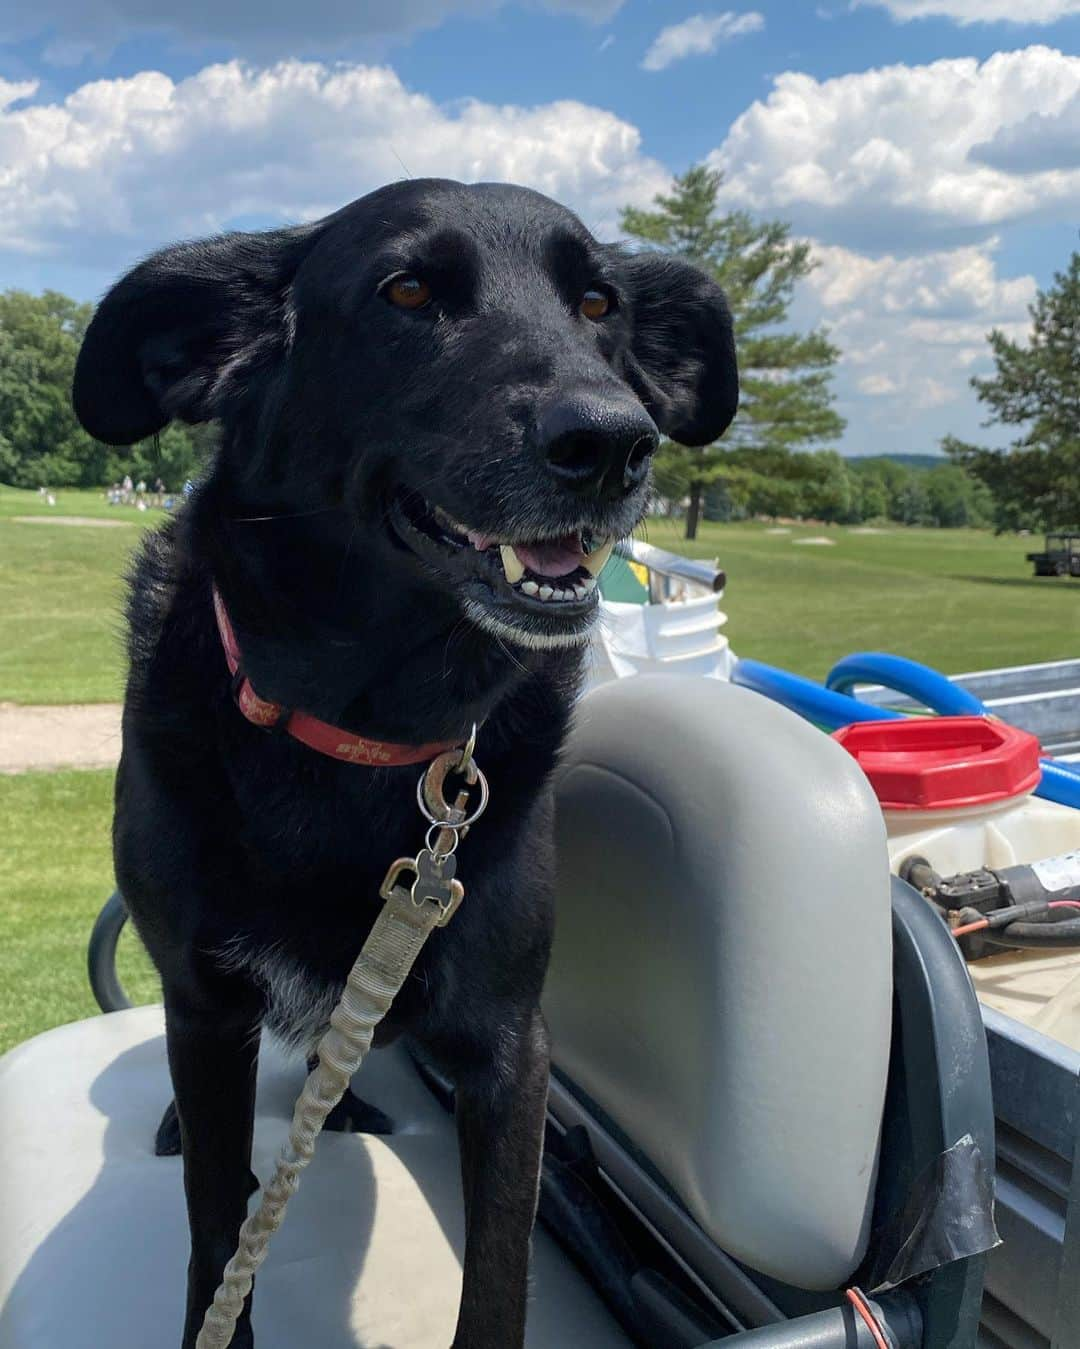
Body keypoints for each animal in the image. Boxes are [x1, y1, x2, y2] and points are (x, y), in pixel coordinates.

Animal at [71, 182, 738, 1349]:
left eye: (599, 302)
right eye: (409, 292)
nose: (616, 441)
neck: (366, 726)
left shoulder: (510, 1044)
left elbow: (500, 1280)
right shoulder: (205, 1005)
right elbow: (216, 1231)